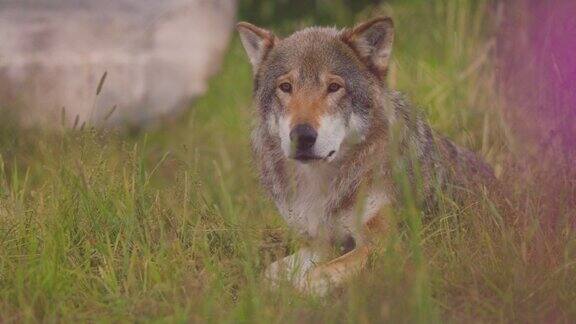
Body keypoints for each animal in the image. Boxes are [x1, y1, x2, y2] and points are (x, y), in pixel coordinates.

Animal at [236, 17, 492, 296]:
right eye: (285, 87)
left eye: (334, 87)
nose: (302, 136)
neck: (323, 185)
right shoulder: (323, 244)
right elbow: (269, 274)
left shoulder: (386, 245)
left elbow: (314, 278)